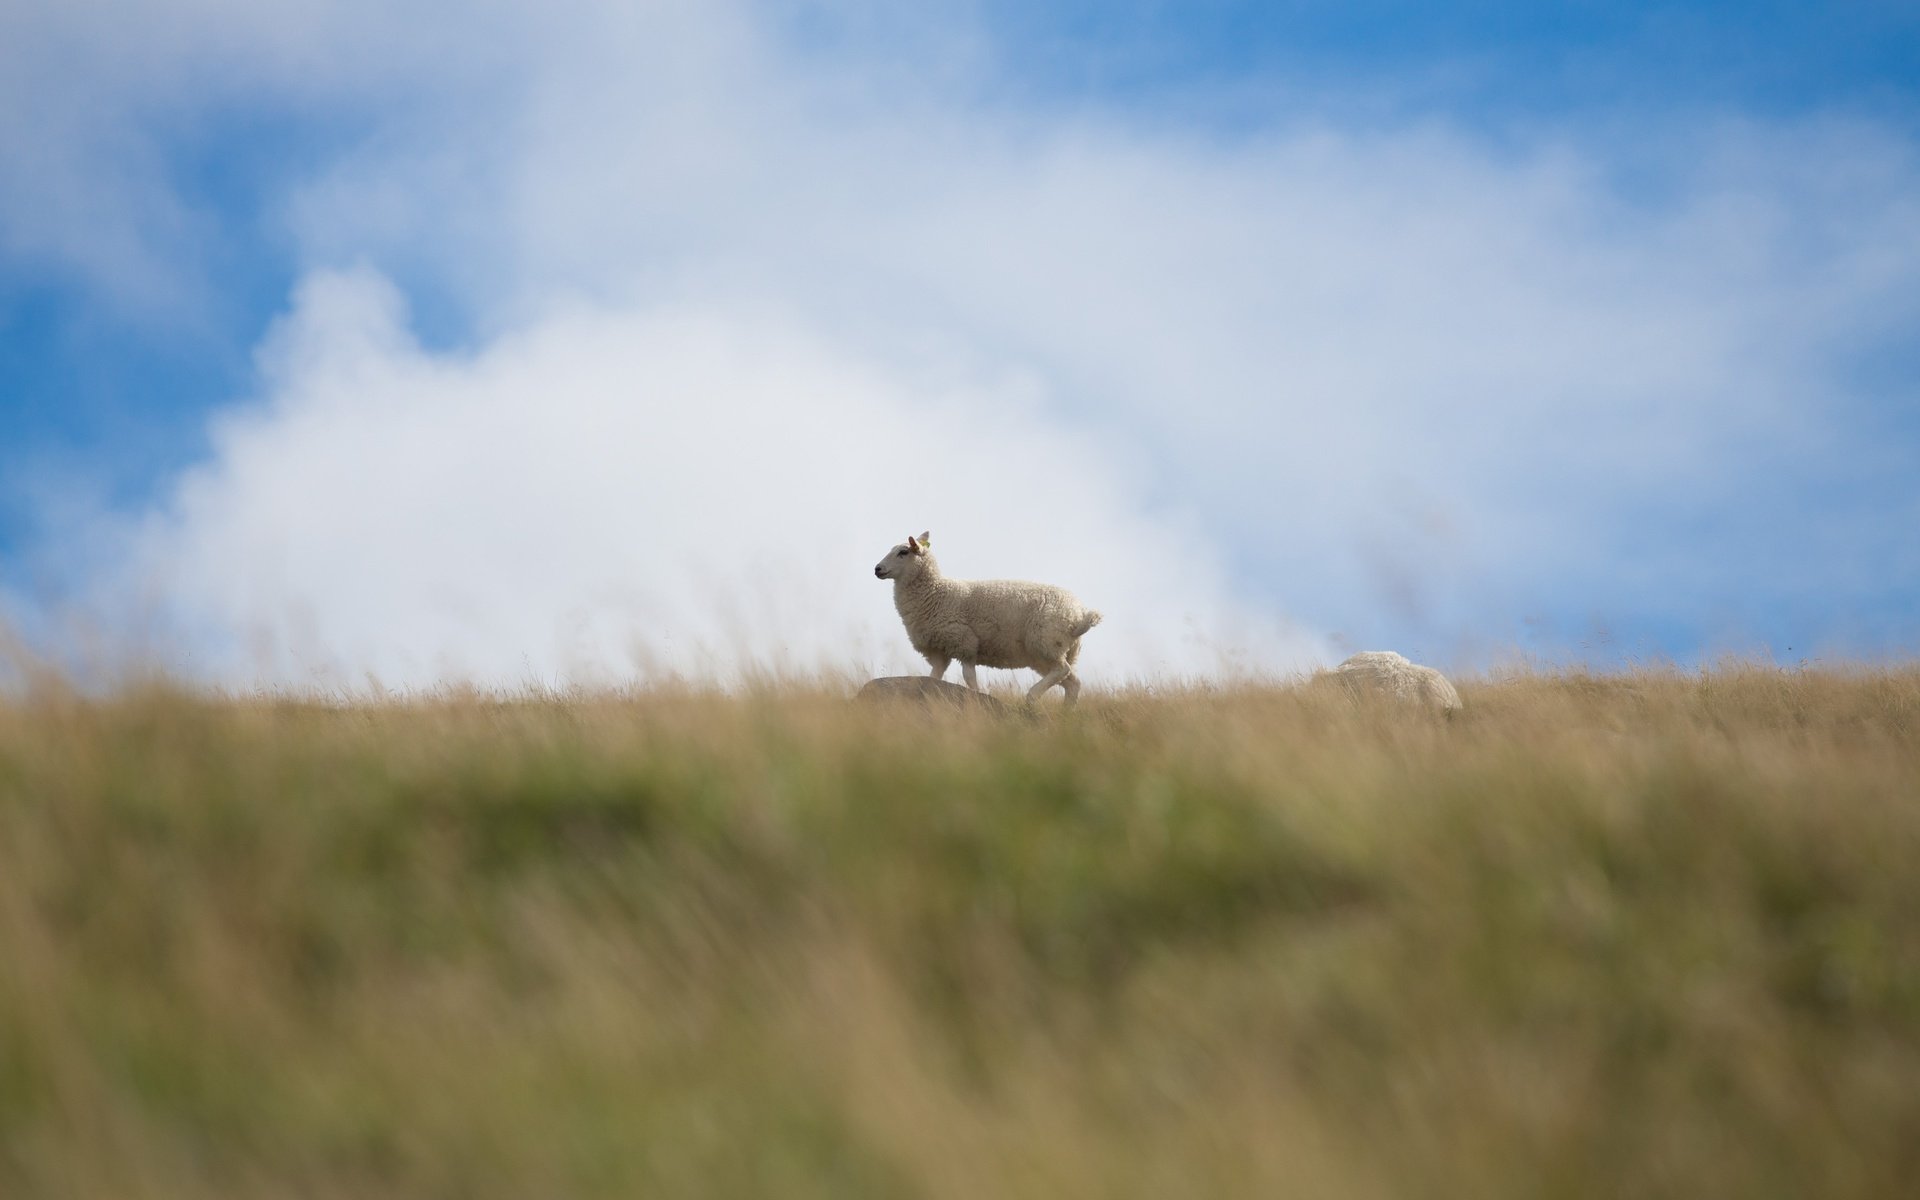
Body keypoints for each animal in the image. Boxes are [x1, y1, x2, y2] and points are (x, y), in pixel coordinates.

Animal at [879, 529, 1105, 702]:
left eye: (903, 552)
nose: (877, 569)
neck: (934, 592)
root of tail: (1079, 615)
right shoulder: (939, 652)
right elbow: (934, 677)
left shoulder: (965, 644)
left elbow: (969, 677)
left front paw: (976, 695)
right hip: (1054, 652)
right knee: (1072, 683)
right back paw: (1067, 714)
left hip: (1046, 642)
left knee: (1062, 671)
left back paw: (1032, 696)